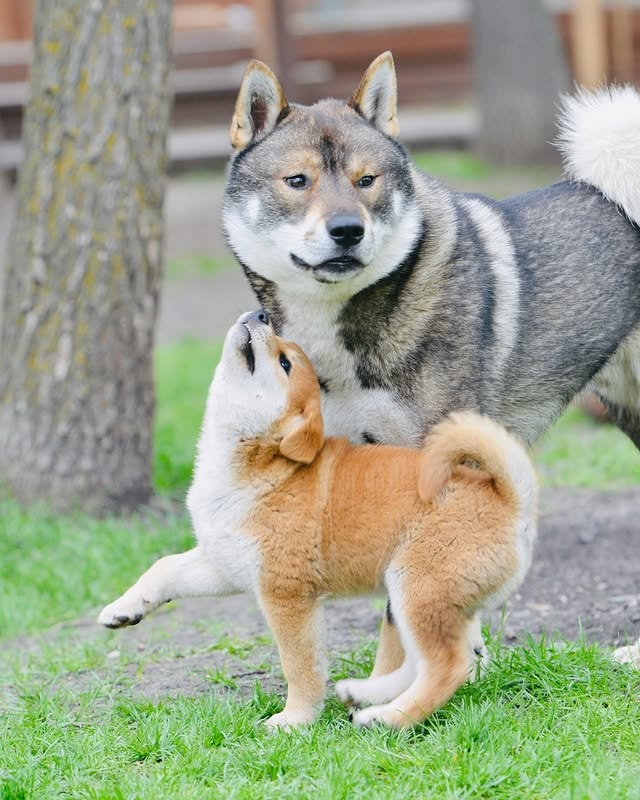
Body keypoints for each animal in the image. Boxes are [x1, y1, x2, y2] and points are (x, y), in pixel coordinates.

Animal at [101, 312, 540, 732]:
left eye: (284, 362)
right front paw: (124, 609)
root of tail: (509, 497)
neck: (262, 467)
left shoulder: (286, 594)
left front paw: (294, 720)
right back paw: (366, 693)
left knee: (447, 666)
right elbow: (164, 569)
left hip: (417, 587)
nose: (260, 313)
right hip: (426, 599)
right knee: (435, 660)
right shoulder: (225, 564)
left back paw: (387, 718)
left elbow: (301, 668)